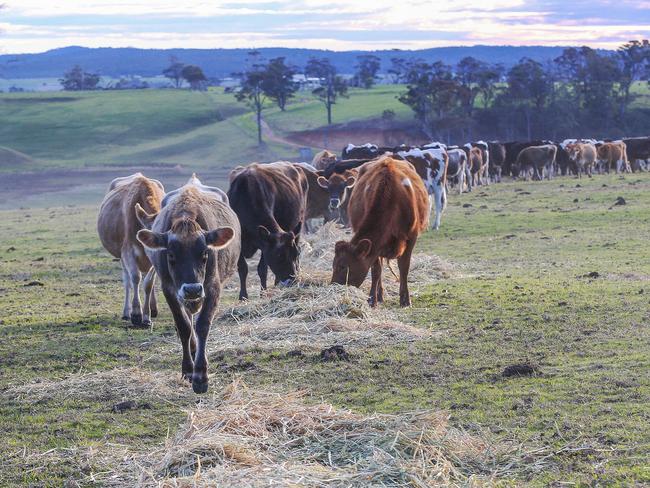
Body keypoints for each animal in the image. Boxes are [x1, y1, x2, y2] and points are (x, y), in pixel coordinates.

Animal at [98, 172, 166, 328]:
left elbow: (148, 284)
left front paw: (146, 317)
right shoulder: (127, 252)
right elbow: (135, 278)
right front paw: (136, 314)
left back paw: (153, 308)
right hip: (121, 257)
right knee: (127, 280)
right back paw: (126, 312)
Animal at [135, 175, 239, 392]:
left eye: (205, 254)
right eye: (171, 255)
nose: (192, 289)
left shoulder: (212, 287)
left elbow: (202, 325)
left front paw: (201, 375)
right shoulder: (170, 289)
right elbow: (183, 326)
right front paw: (188, 370)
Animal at [227, 162, 308, 300]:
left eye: (295, 254)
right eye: (279, 255)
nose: (292, 281)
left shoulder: (264, 244)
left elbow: (262, 269)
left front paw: (263, 292)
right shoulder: (238, 241)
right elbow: (242, 268)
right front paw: (243, 296)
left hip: (298, 228)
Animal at [330, 156, 430, 306]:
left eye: (343, 266)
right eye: (333, 264)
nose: (333, 286)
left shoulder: (411, 237)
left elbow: (404, 267)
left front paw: (405, 299)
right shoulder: (375, 246)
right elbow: (376, 270)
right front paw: (373, 299)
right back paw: (380, 294)